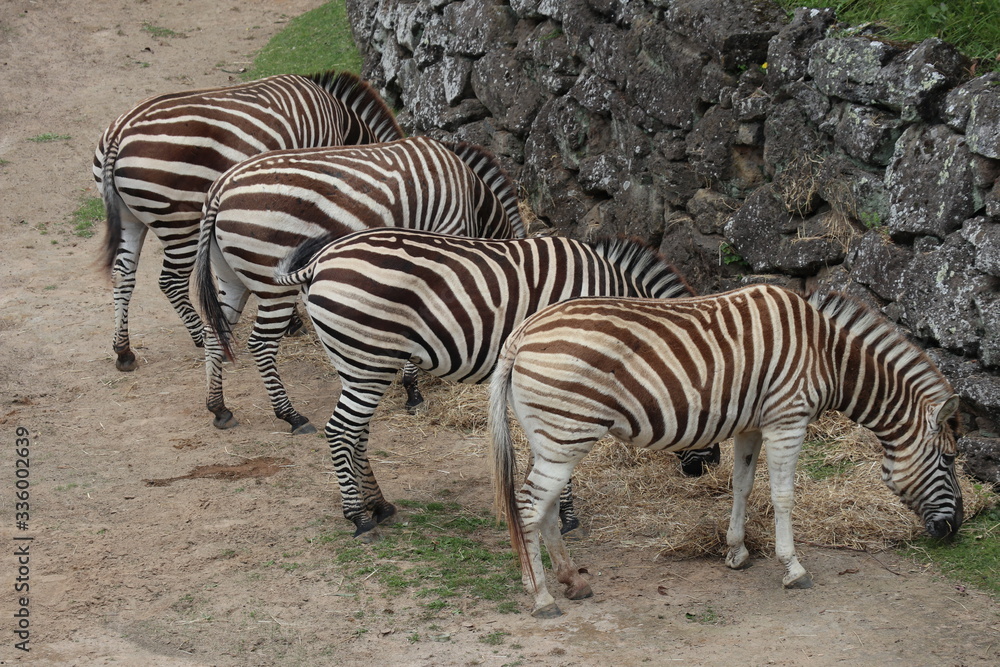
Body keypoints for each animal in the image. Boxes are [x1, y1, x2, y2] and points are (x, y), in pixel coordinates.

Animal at [93, 71, 402, 374]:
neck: (340, 120)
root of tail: (118, 133)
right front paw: (294, 320)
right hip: (179, 221)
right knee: (171, 281)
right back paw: (200, 336)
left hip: (130, 219)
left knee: (122, 273)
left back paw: (124, 350)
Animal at [194, 136, 524, 438]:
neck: (472, 196)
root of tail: (220, 187)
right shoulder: (444, 236)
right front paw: (413, 391)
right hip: (272, 282)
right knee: (261, 344)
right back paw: (291, 416)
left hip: (230, 278)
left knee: (214, 332)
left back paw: (219, 408)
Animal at [270, 228, 720, 536]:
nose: (711, 465)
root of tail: (320, 261)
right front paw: (566, 517)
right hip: (368, 360)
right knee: (340, 431)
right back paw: (358, 517)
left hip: (357, 363)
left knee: (356, 433)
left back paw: (379, 505)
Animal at [490, 284, 960, 620]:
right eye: (949, 459)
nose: (954, 530)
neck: (826, 353)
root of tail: (522, 332)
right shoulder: (787, 420)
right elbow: (783, 496)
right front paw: (793, 569)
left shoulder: (752, 424)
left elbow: (742, 486)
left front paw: (737, 552)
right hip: (565, 433)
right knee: (528, 508)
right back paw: (542, 597)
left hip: (550, 438)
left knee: (546, 508)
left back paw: (573, 581)